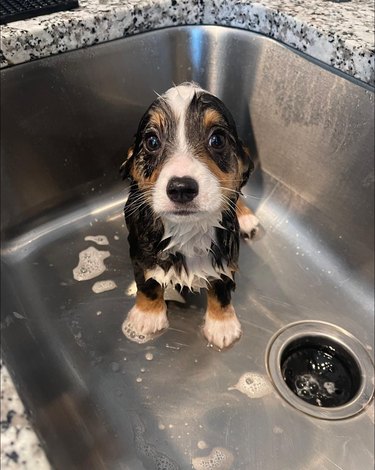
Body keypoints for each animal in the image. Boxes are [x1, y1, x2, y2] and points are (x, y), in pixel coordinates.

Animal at [120, 81, 258, 348]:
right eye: (152, 141)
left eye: (217, 139)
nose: (181, 188)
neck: (188, 230)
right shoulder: (139, 248)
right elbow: (148, 283)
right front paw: (146, 316)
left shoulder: (226, 251)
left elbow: (221, 286)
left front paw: (222, 324)